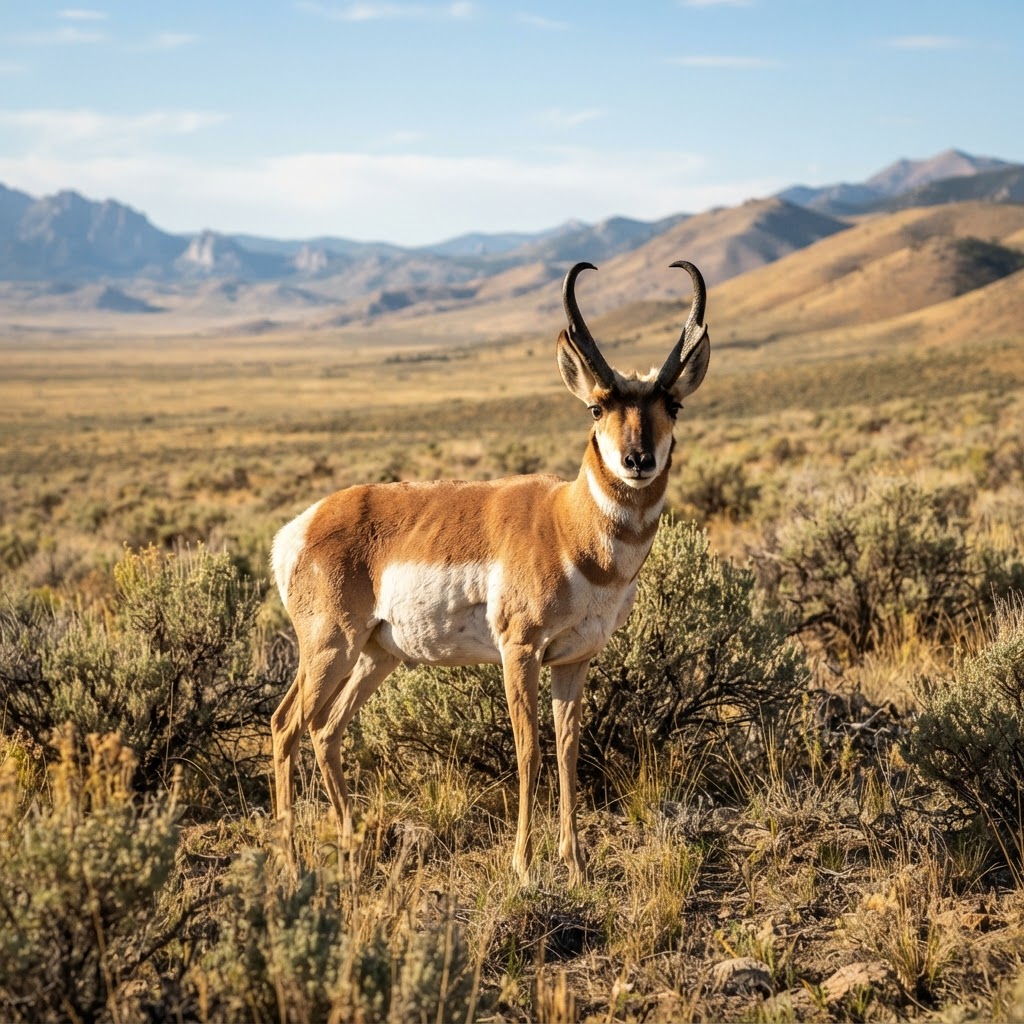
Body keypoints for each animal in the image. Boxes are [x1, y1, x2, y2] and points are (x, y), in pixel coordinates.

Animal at [270, 260, 710, 885]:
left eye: (672, 406)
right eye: (597, 407)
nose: (637, 461)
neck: (565, 524)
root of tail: (304, 525)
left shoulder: (574, 661)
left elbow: (568, 749)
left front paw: (576, 864)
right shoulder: (519, 652)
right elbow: (529, 751)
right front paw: (525, 866)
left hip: (378, 656)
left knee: (326, 730)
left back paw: (352, 851)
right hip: (330, 646)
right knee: (287, 725)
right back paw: (290, 864)